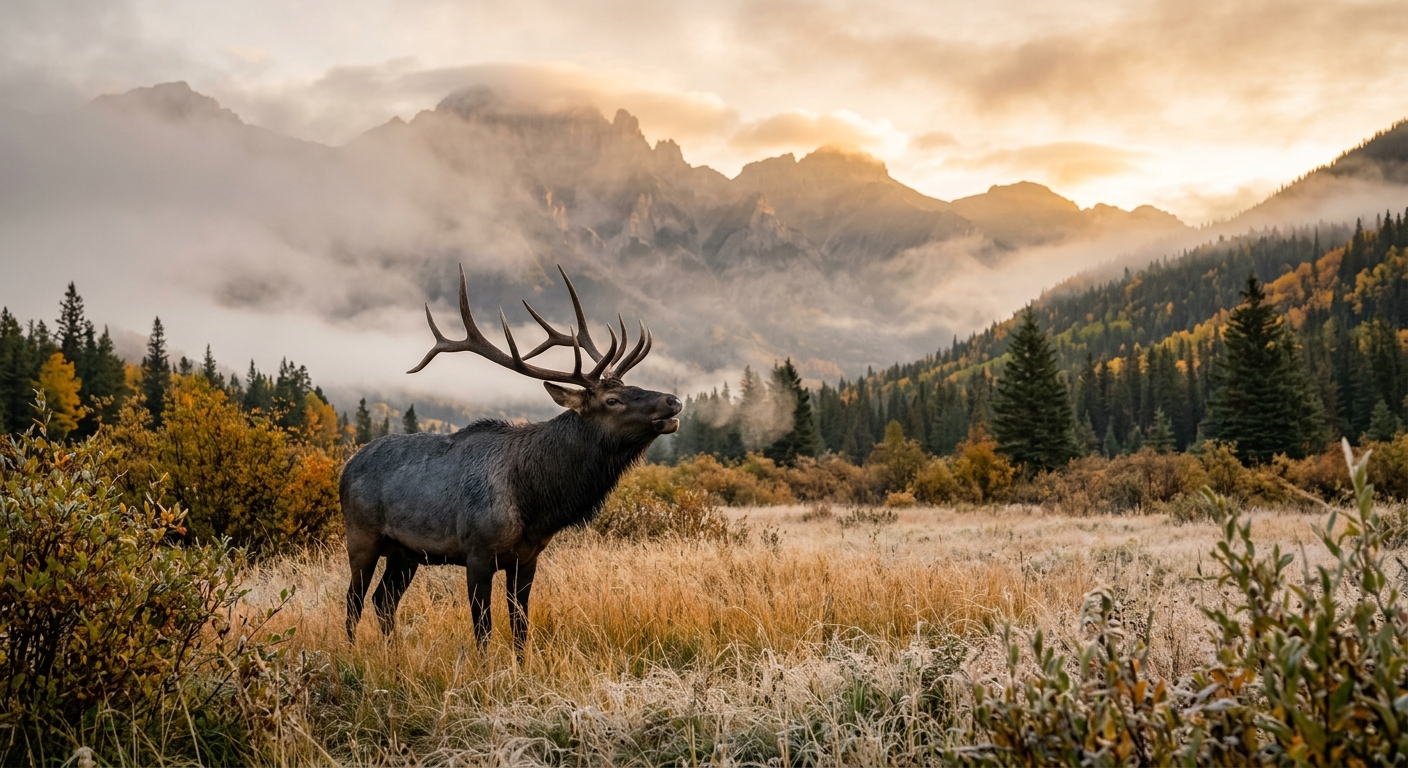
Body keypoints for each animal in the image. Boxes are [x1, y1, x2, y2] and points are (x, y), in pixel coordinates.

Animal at [340, 266, 681, 650]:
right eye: (612, 400)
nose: (673, 401)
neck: (534, 503)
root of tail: (345, 469)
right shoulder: (477, 554)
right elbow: (484, 631)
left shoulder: (527, 559)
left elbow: (521, 629)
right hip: (362, 537)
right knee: (354, 600)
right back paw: (352, 653)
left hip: (405, 553)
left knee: (384, 600)